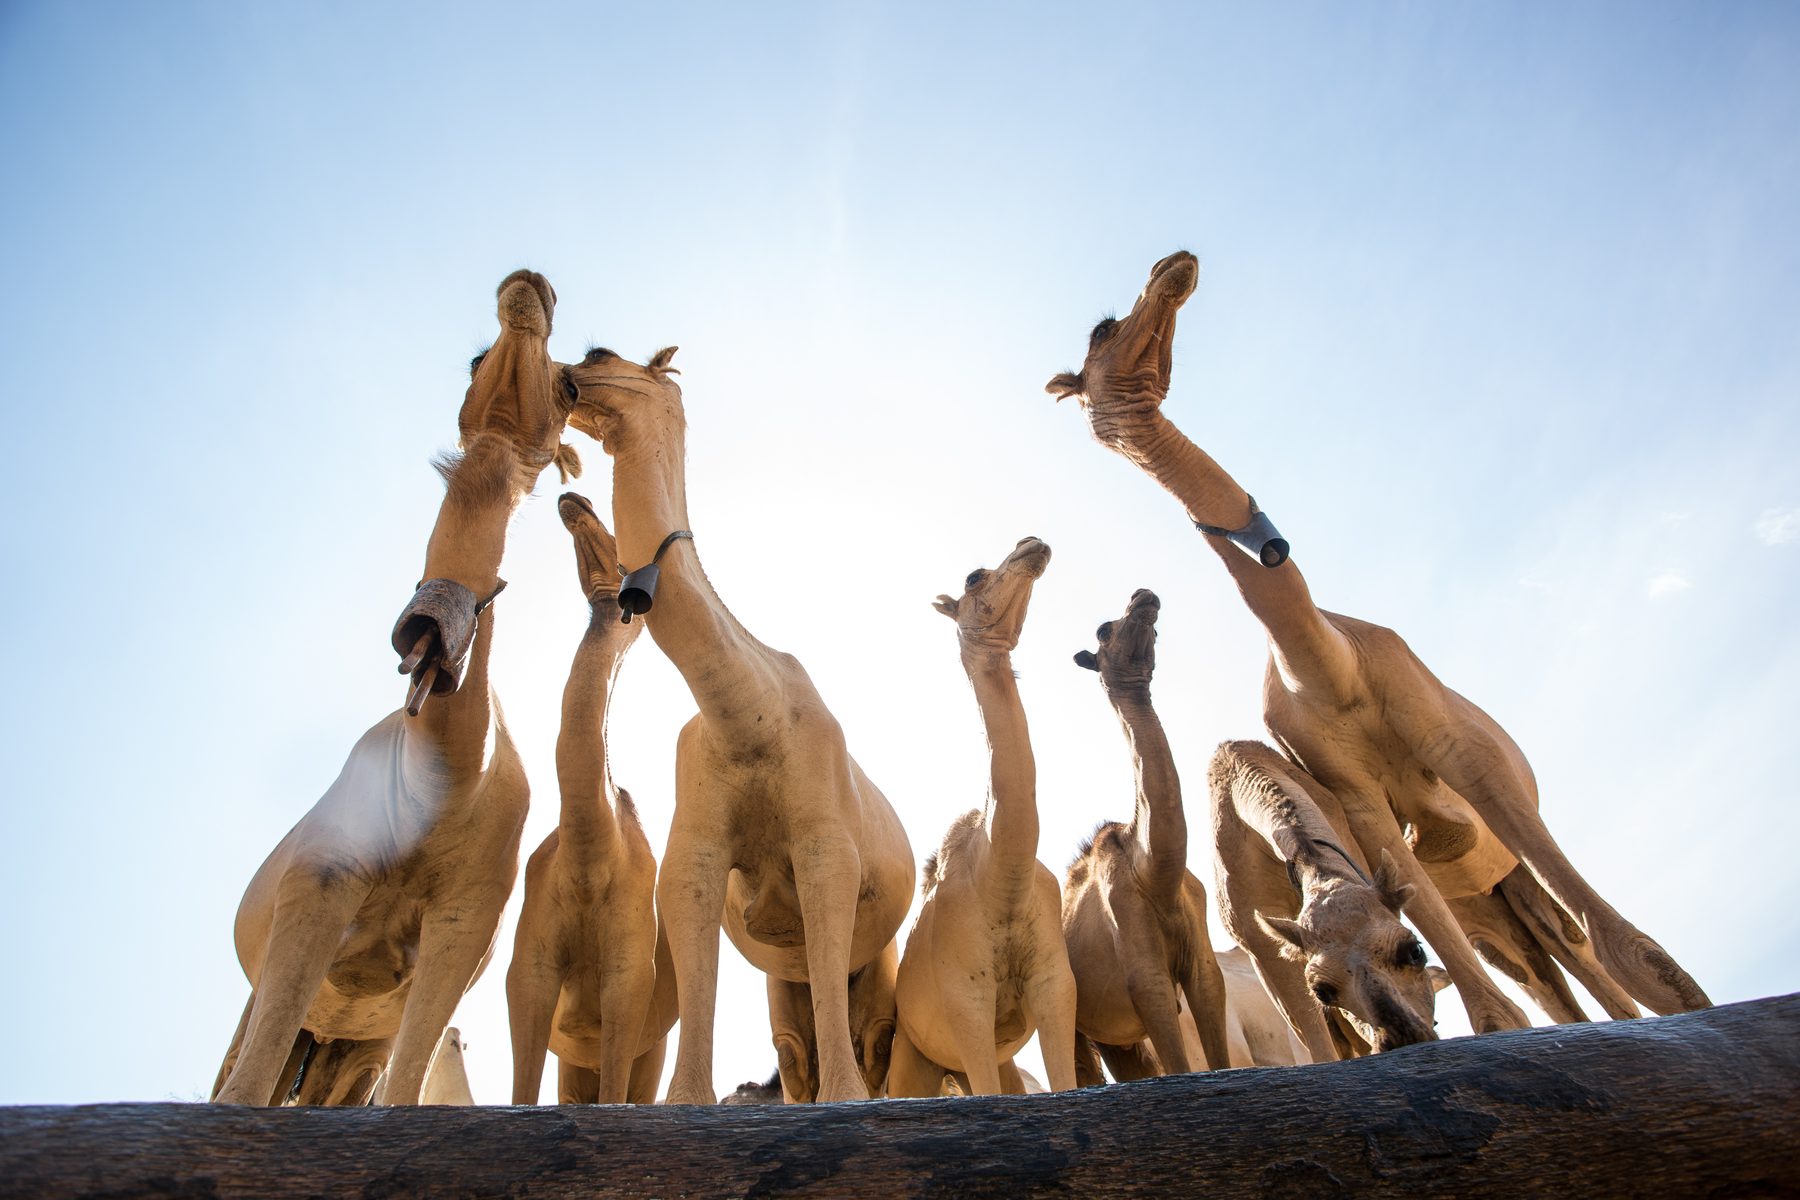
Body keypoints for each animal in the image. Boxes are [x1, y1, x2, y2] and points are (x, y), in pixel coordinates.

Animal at [213, 270, 570, 1105]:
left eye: (569, 388)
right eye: (473, 361)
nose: (529, 288)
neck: (446, 768)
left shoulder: (463, 930)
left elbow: (406, 1097)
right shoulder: (314, 889)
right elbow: (241, 1096)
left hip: (348, 1045)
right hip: (279, 1003)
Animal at [504, 492, 675, 1104]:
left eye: (627, 546)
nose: (574, 500)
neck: (588, 859)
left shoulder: (632, 977)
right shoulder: (527, 970)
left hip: (652, 1047)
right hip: (574, 1061)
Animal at [565, 345, 914, 1104]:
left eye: (605, 354)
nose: (568, 374)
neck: (747, 719)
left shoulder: (826, 842)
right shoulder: (692, 844)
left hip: (881, 960)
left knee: (874, 1040)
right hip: (783, 986)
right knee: (793, 1049)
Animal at [887, 538, 1078, 1098]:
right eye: (974, 577)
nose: (1031, 544)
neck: (1002, 880)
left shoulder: (1055, 984)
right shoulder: (965, 1001)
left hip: (999, 1057)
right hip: (915, 1053)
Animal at [1062, 588, 1230, 1086]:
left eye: (1156, 632)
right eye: (1103, 630)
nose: (1144, 596)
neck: (1156, 873)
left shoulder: (1204, 970)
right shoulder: (1146, 980)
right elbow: (1178, 1064)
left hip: (1115, 1035)